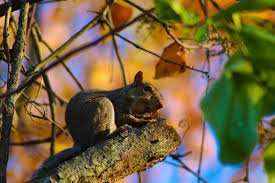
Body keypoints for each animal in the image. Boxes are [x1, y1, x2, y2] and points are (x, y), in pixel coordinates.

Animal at [30, 71, 164, 180]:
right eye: (147, 88)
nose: (161, 105)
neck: (126, 95)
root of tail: (81, 141)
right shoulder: (119, 105)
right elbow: (125, 118)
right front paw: (143, 121)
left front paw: (147, 116)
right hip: (102, 105)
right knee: (98, 139)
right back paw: (116, 132)